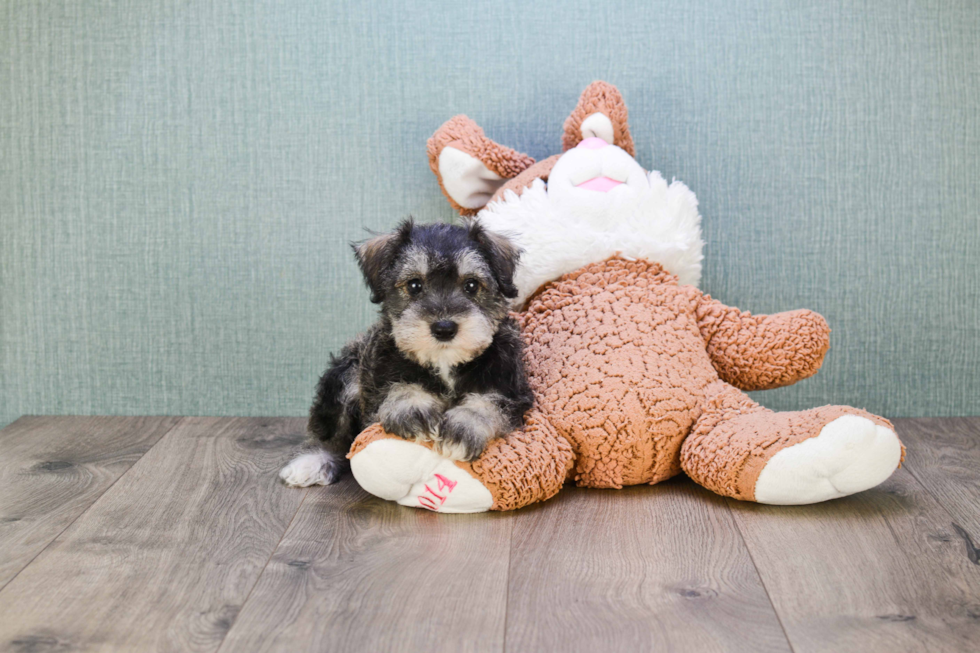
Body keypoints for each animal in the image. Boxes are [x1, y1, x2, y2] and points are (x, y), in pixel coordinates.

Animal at [276, 216, 536, 486]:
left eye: (471, 285)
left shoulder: (512, 391)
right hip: (344, 376)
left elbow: (488, 403)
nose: (444, 328)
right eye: (414, 285)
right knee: (329, 433)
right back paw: (311, 462)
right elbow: (397, 387)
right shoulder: (375, 382)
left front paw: (463, 428)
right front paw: (414, 410)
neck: (444, 363)